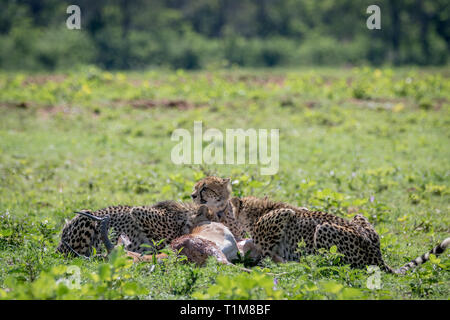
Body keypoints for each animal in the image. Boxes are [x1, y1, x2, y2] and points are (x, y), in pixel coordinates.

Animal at [230, 196, 448, 274]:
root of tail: (377, 256)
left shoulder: (284, 214)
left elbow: (264, 249)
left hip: (323, 229)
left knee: (336, 264)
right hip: (359, 217)